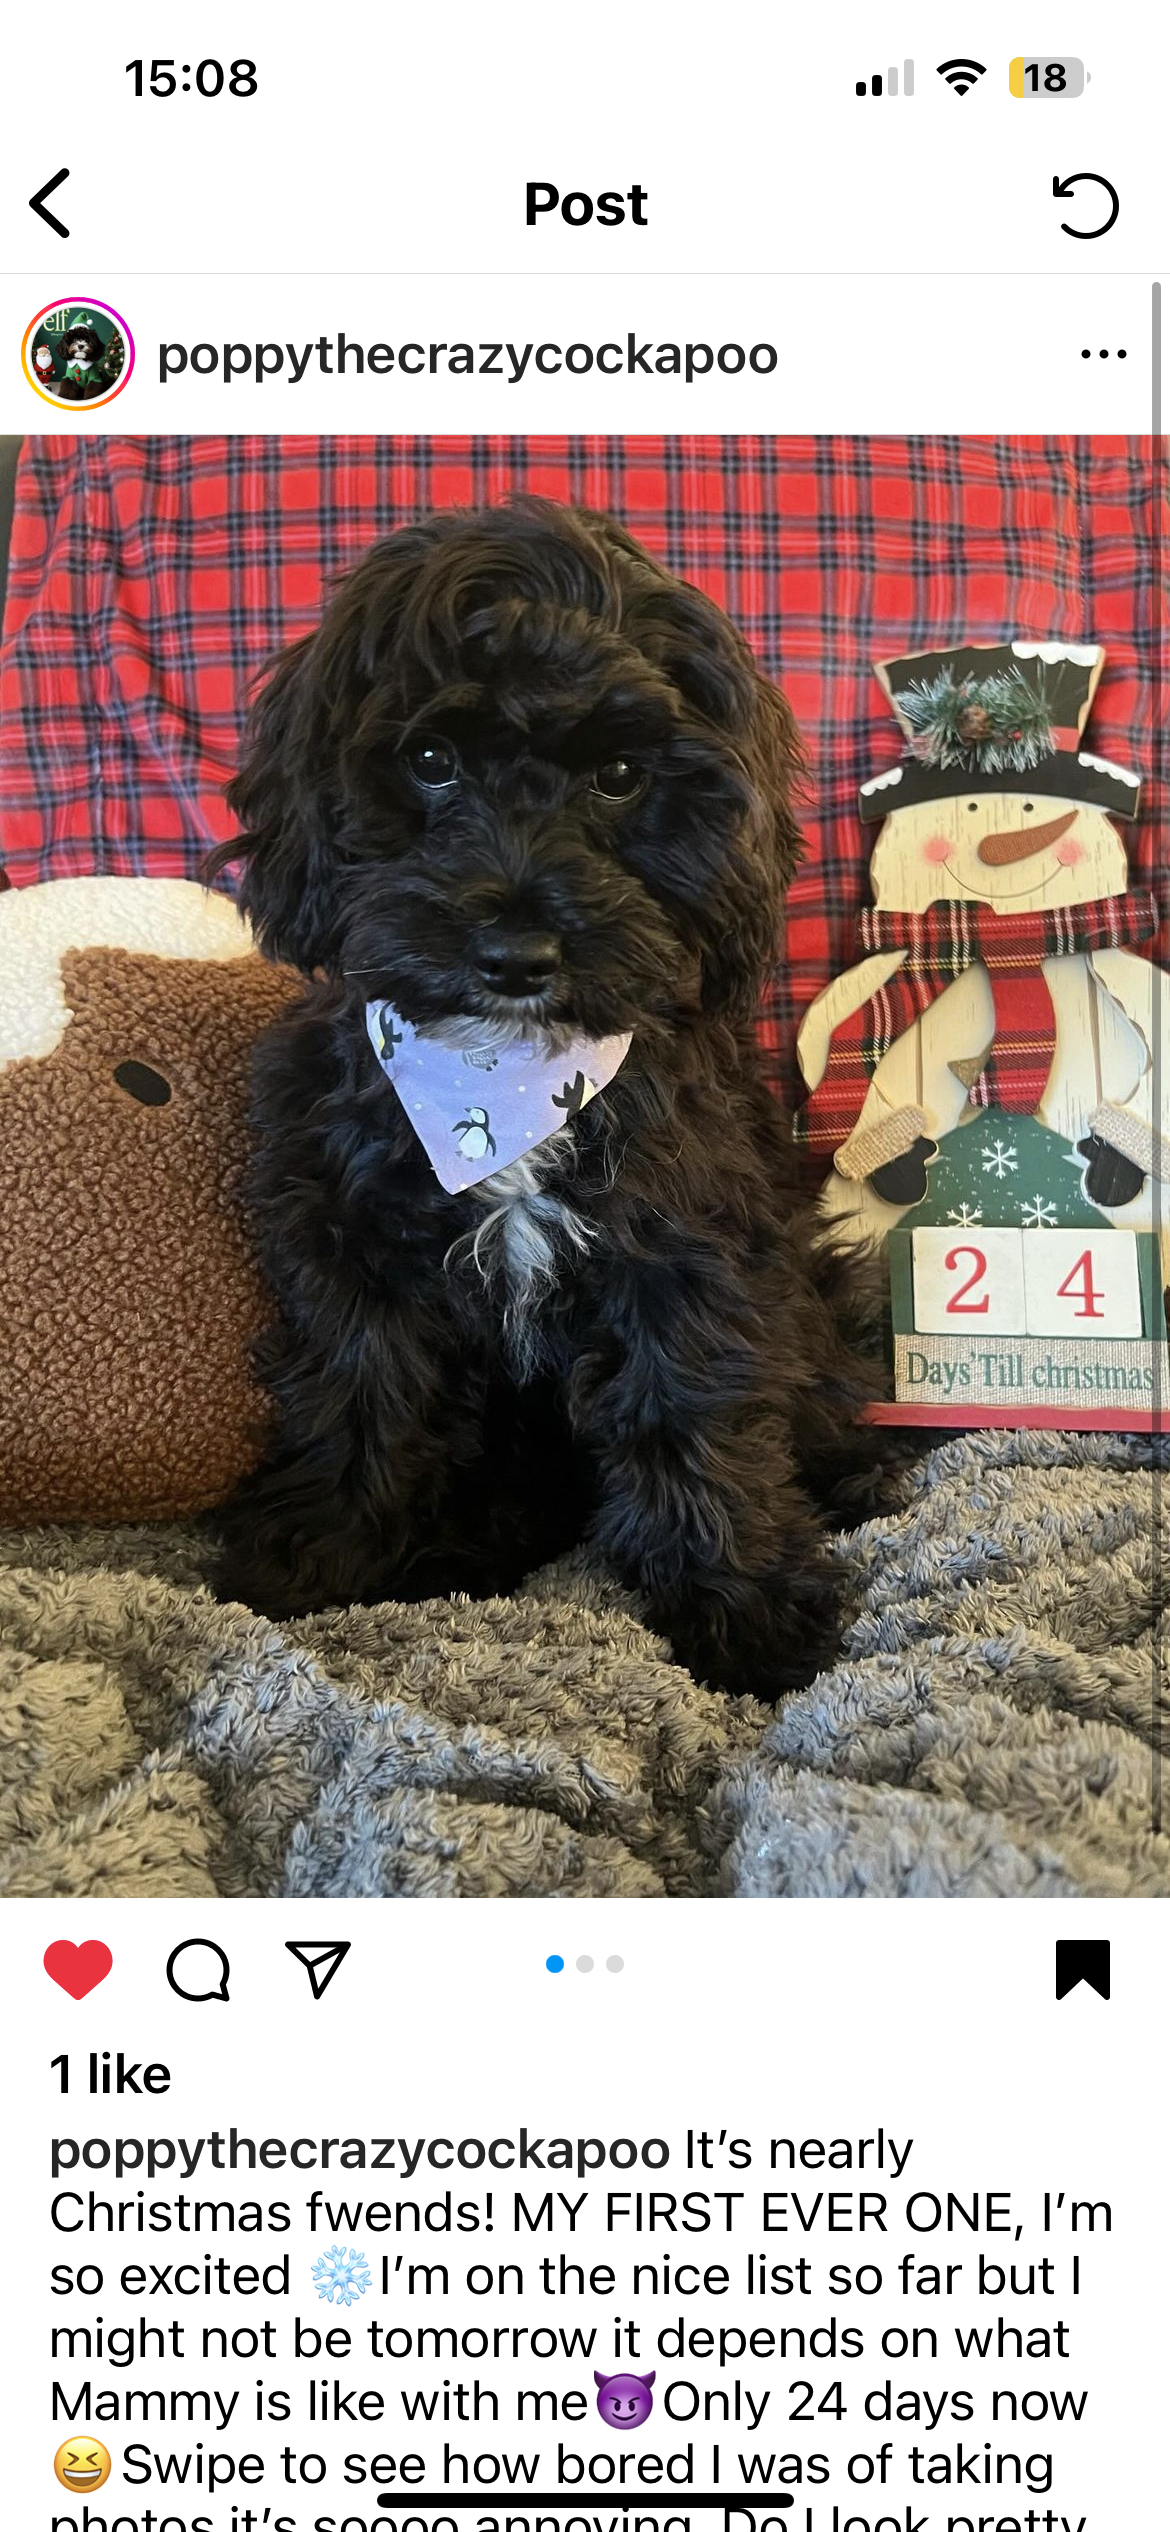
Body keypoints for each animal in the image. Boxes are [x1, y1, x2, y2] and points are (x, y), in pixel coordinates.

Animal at [210, 496, 891, 1691]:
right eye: (430, 761)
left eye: (619, 775)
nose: (515, 954)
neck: (506, 1078)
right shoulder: (347, 1235)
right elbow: (362, 1391)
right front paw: (322, 1548)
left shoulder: (689, 1244)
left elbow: (693, 1408)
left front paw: (744, 1604)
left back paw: (851, 1473)